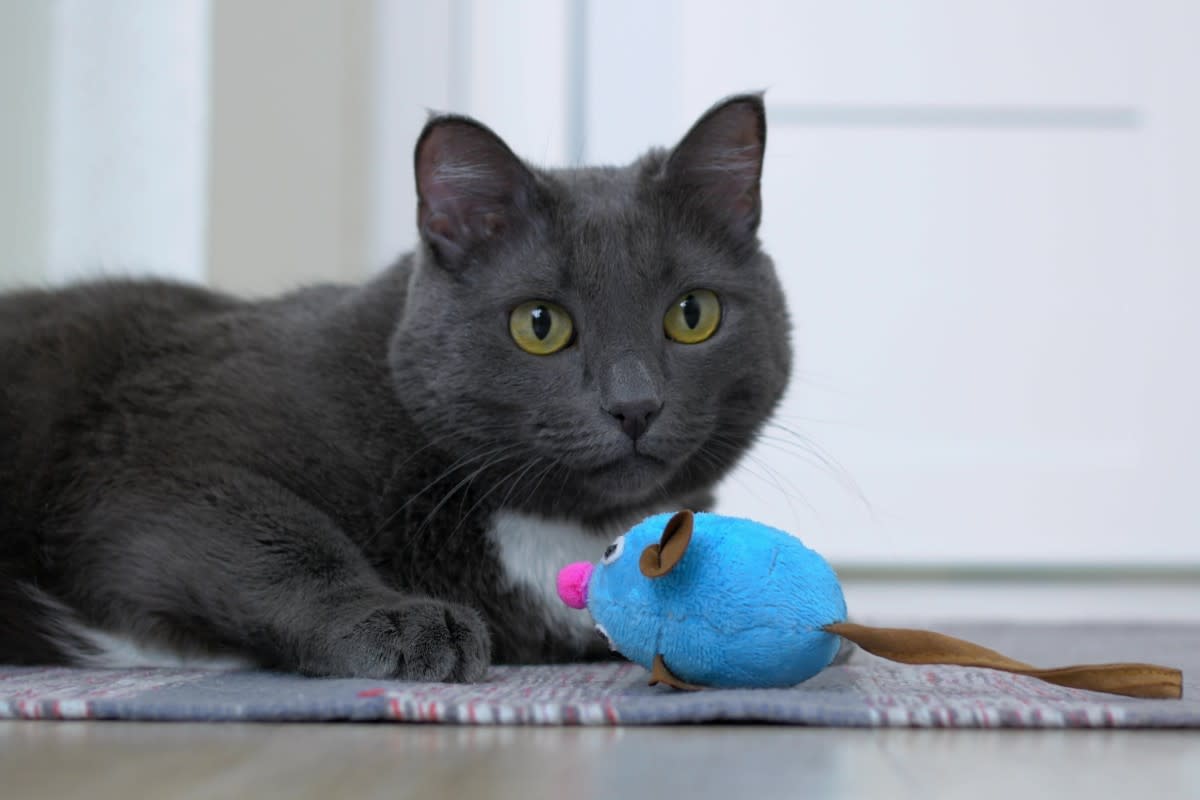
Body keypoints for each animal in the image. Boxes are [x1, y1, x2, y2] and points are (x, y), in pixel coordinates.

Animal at [0, 94, 792, 681]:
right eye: (539, 324)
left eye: (692, 314)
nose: (634, 405)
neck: (547, 528)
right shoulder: (148, 457)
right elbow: (278, 534)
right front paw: (399, 621)